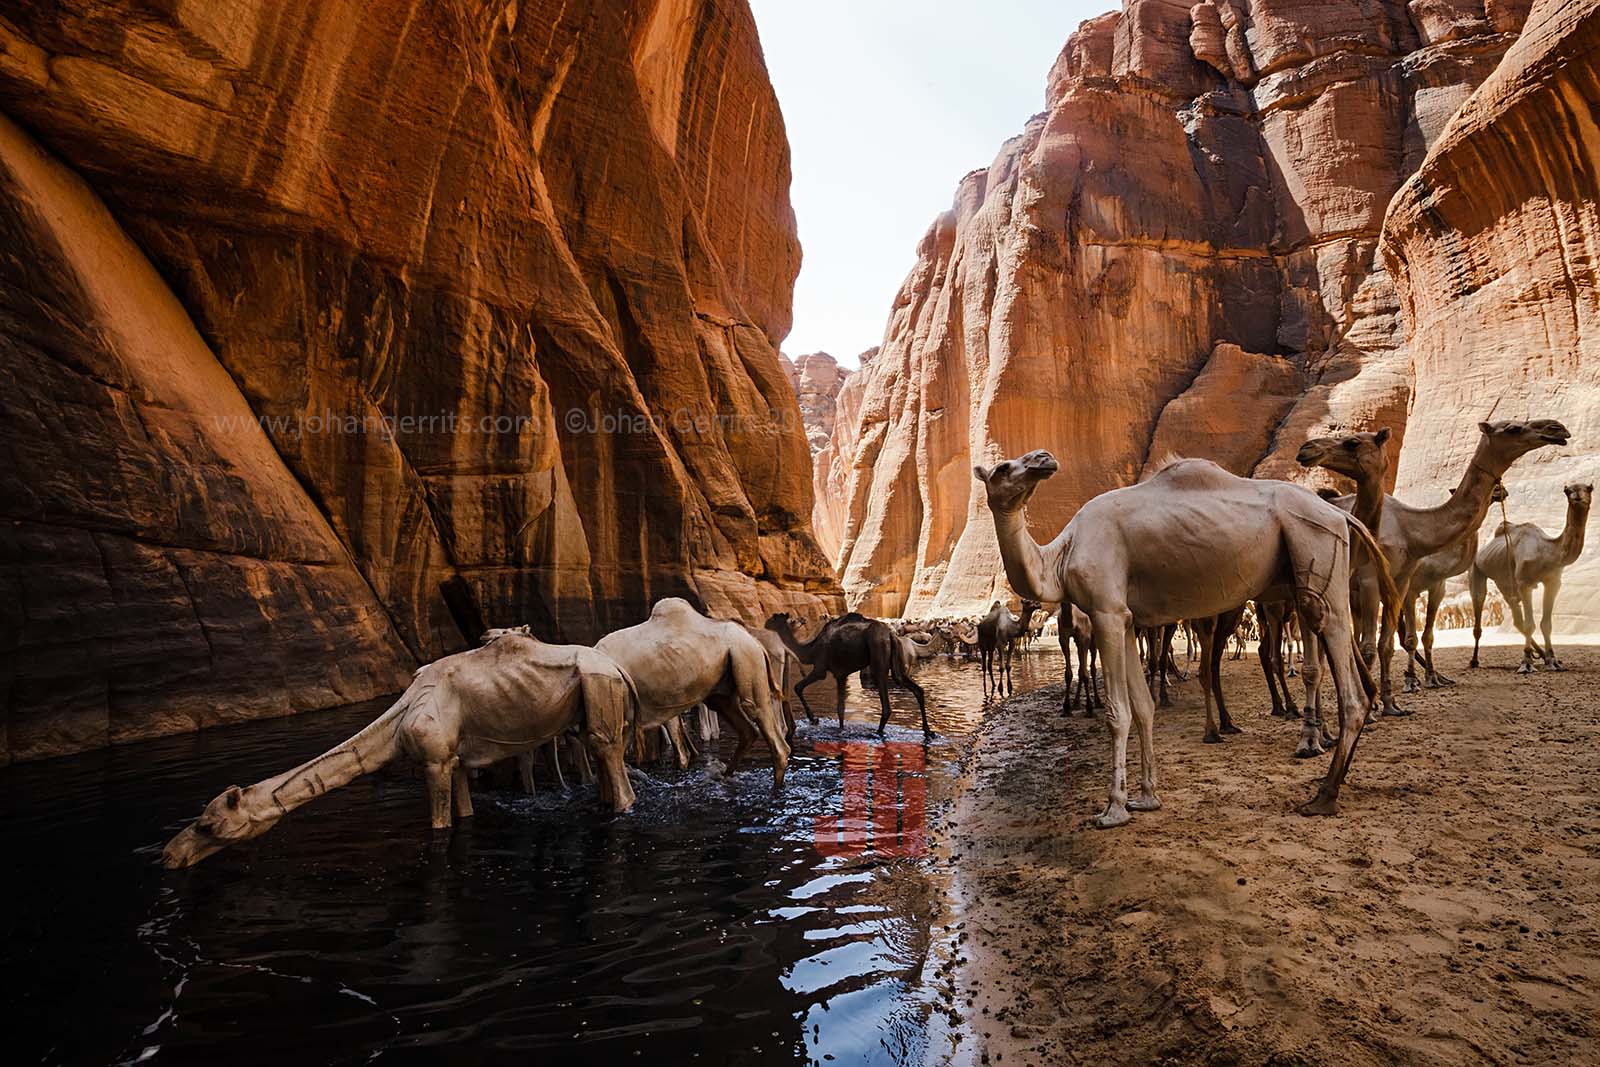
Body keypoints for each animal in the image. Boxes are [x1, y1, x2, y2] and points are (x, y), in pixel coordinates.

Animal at [161, 633, 637, 868]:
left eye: (207, 825)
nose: (168, 855)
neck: (397, 723)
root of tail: (618, 668)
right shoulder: (455, 760)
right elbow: (465, 811)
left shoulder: (434, 761)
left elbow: (440, 827)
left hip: (599, 688)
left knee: (609, 757)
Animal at [597, 598, 790, 785]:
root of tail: (756, 643)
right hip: (724, 682)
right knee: (740, 722)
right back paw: (725, 775)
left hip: (746, 655)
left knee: (756, 709)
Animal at [765, 612, 930, 737]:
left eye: (775, 618)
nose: (765, 623)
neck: (811, 649)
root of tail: (891, 634)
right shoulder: (841, 675)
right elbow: (840, 709)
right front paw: (840, 728)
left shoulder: (820, 668)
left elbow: (798, 687)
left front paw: (813, 719)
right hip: (896, 661)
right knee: (913, 687)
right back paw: (928, 732)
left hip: (878, 652)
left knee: (886, 704)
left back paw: (877, 733)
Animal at [974, 451, 1396, 824]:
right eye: (1002, 467)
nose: (1044, 459)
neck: (1060, 558)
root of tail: (1340, 514)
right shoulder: (1126, 620)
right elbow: (1143, 706)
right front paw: (1147, 797)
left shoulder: (1105, 611)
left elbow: (1117, 712)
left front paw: (1114, 809)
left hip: (1315, 554)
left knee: (1349, 686)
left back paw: (1323, 795)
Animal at [1471, 482, 1593, 672]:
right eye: (1567, 491)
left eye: (1590, 488)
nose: (1578, 496)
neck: (1547, 551)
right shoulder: (1524, 583)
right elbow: (1530, 625)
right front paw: (1526, 663)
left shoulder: (1553, 582)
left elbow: (1546, 624)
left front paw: (1553, 661)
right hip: (1477, 570)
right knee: (1479, 606)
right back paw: (1474, 660)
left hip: (1505, 583)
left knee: (1516, 617)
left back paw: (1541, 655)